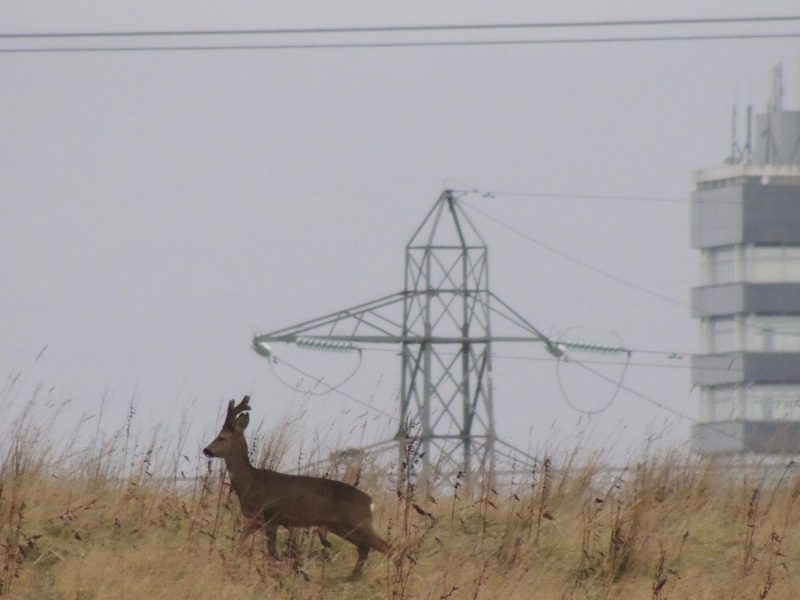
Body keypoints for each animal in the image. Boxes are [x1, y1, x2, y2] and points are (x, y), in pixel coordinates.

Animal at [202, 396, 392, 580]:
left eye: (221, 437)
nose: (206, 450)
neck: (250, 482)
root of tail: (370, 502)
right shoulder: (262, 520)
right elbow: (246, 544)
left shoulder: (270, 516)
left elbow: (268, 551)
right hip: (341, 526)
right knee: (365, 548)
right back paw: (348, 578)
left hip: (356, 521)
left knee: (386, 547)